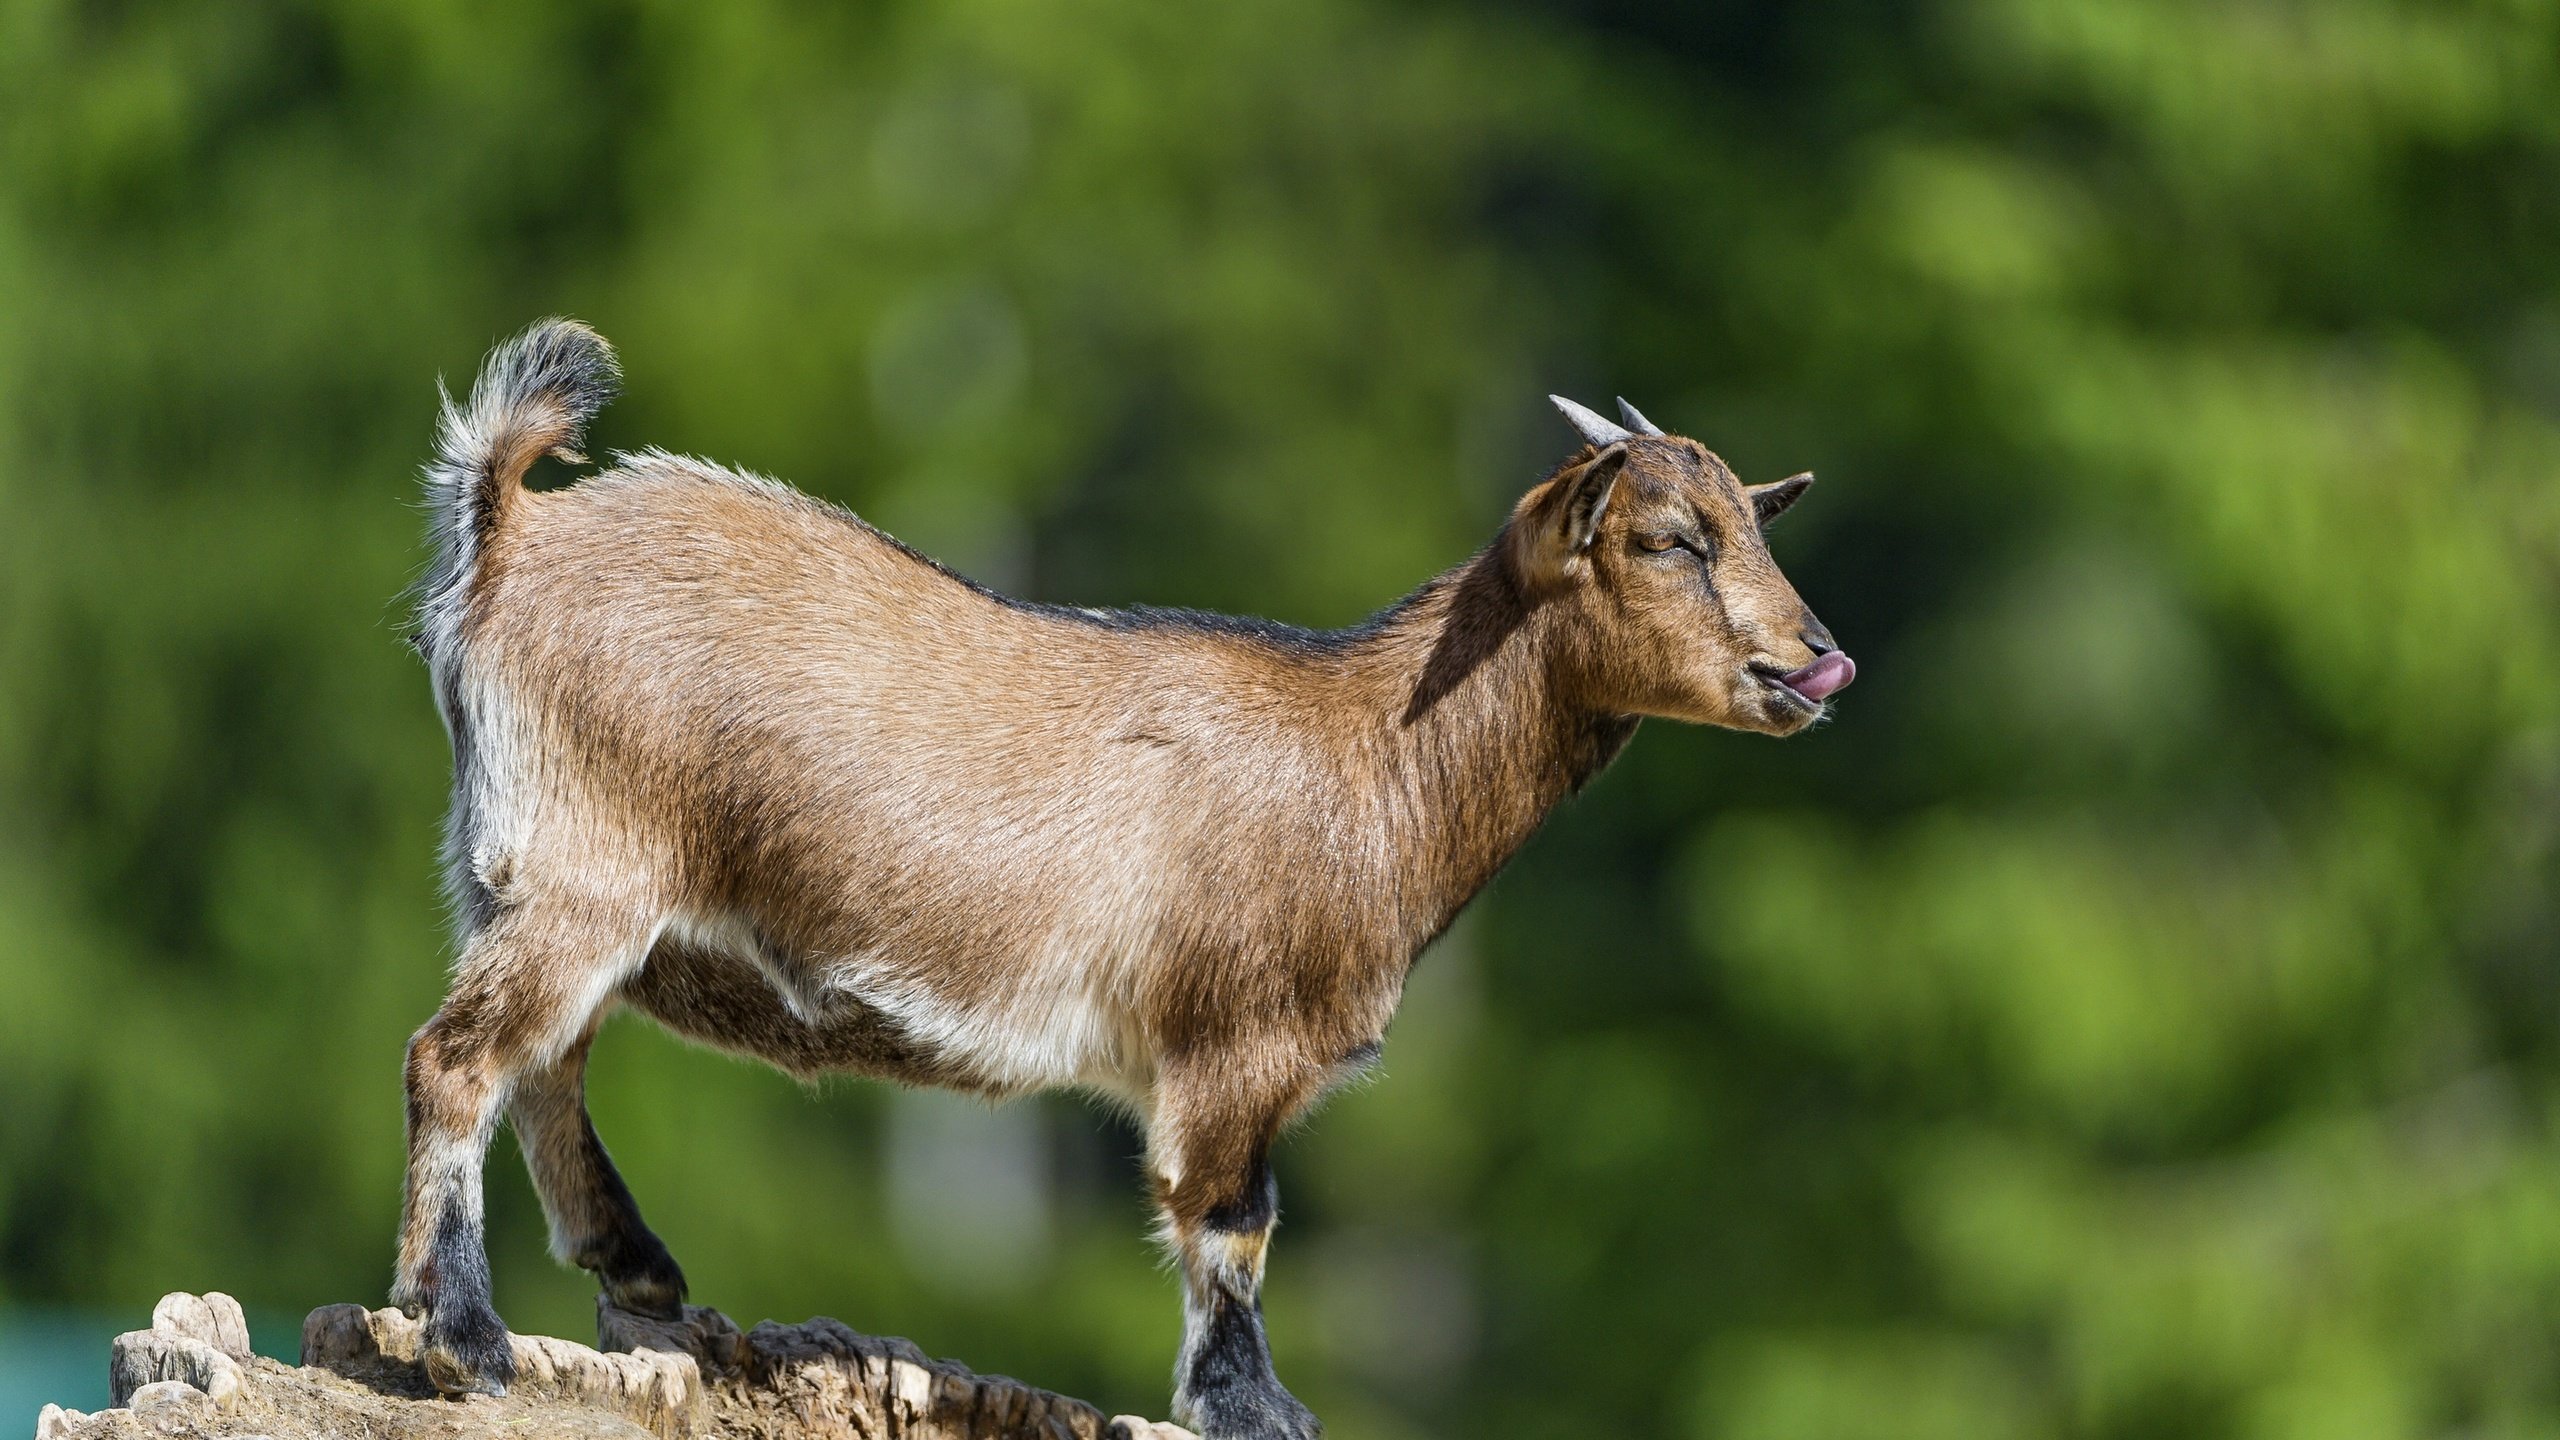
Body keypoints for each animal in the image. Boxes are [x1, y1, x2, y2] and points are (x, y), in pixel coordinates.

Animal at [389, 316, 1853, 1434]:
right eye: (1668, 540)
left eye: (1751, 524)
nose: (1816, 663)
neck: (1368, 751)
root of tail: (511, 531)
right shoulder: (1232, 1040)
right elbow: (1231, 1224)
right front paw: (1254, 1408)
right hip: (583, 868)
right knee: (457, 1058)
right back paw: (463, 1335)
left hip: (520, 876)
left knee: (545, 1062)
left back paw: (633, 1271)